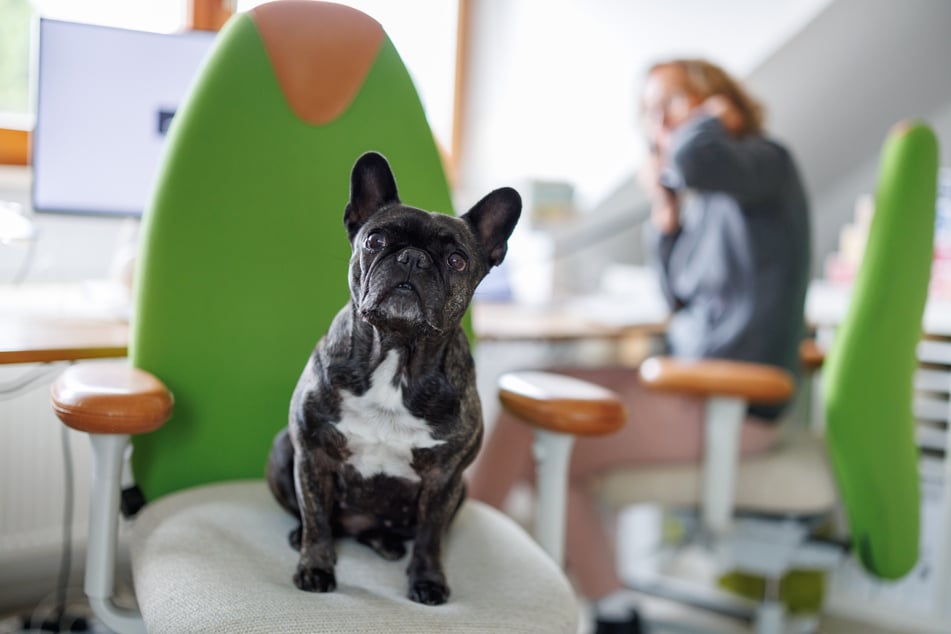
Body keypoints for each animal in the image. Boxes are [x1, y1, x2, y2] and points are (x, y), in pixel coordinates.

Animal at [266, 152, 520, 604]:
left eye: (457, 260)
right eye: (375, 240)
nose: (412, 258)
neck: (397, 355)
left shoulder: (445, 480)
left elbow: (431, 537)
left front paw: (427, 580)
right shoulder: (312, 453)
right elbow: (316, 518)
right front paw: (315, 566)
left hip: (460, 492)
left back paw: (386, 544)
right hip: (284, 449)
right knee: (318, 519)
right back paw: (303, 537)